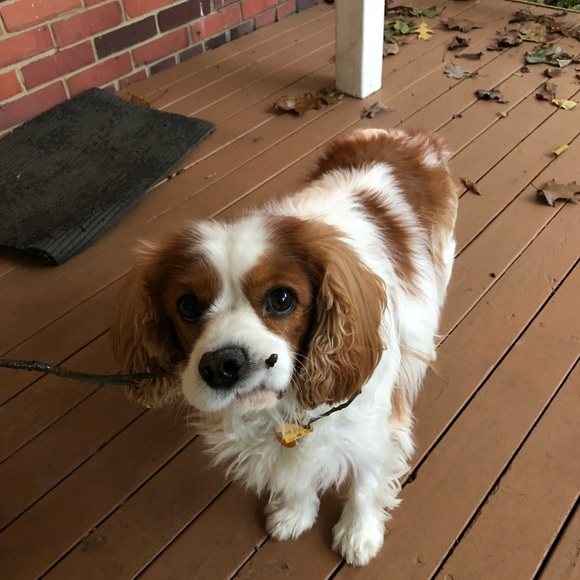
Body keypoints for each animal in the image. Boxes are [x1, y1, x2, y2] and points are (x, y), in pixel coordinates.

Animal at [111, 127, 458, 566]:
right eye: (187, 306)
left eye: (281, 299)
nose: (222, 364)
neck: (283, 408)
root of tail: (406, 135)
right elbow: (295, 475)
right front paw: (295, 513)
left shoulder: (374, 428)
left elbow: (366, 481)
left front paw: (359, 533)